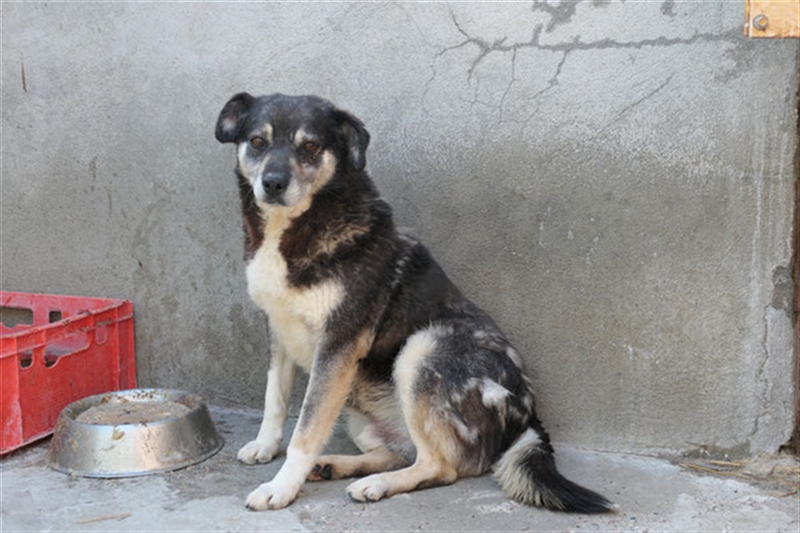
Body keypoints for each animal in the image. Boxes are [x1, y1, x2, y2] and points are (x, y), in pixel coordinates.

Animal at [215, 93, 614, 513]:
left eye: (309, 146)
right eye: (257, 141)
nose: (273, 183)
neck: (299, 227)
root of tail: (528, 415)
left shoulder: (338, 344)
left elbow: (306, 430)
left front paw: (281, 486)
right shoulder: (278, 329)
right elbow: (274, 399)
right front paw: (265, 445)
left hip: (421, 350)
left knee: (440, 467)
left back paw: (375, 483)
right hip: (359, 406)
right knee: (397, 452)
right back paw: (336, 466)